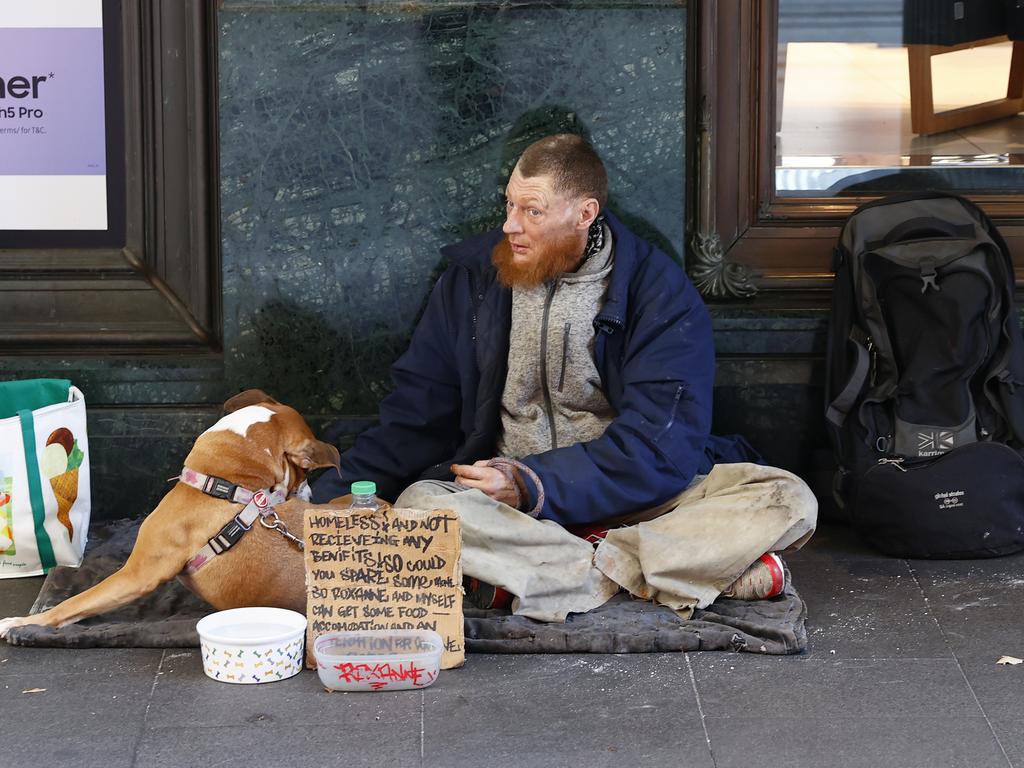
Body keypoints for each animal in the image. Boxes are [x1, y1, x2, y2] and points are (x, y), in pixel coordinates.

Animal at [0, 391, 344, 638]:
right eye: (303, 472)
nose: (311, 497)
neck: (224, 483)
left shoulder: (135, 576)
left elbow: (72, 603)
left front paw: (21, 623)